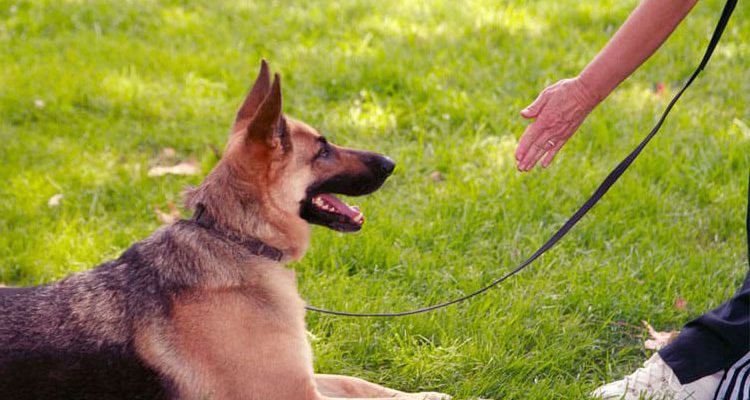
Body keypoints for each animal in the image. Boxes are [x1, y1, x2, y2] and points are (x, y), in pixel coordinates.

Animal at [0, 60, 450, 400]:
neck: (238, 239)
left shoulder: (303, 379)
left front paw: (425, 394)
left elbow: (357, 382)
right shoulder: (294, 393)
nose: (392, 163)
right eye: (322, 150)